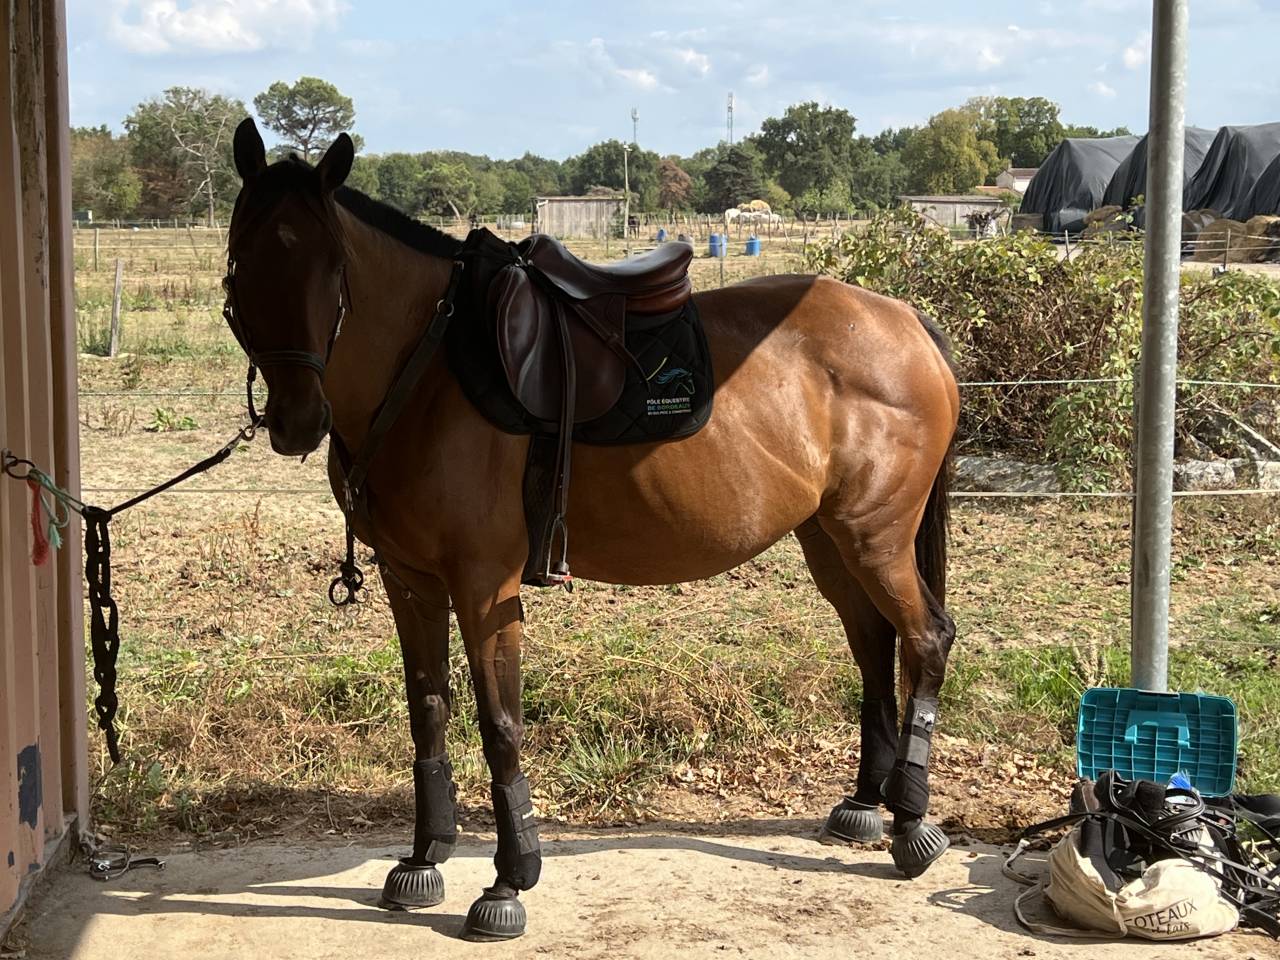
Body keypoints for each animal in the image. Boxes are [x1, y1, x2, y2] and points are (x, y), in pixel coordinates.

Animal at [225, 119, 959, 941]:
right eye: (241, 262)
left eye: (332, 269)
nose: (296, 419)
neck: (431, 367)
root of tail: (904, 320)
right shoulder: (408, 581)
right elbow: (428, 714)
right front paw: (424, 857)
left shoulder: (484, 586)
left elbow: (500, 724)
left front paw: (508, 880)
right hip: (830, 541)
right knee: (872, 642)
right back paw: (866, 803)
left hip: (875, 537)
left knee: (925, 639)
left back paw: (911, 823)